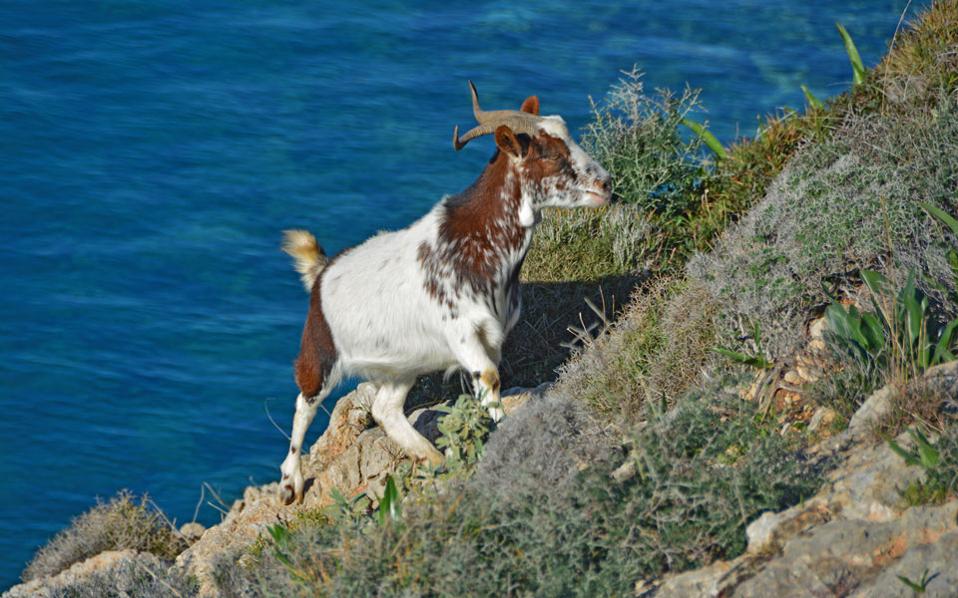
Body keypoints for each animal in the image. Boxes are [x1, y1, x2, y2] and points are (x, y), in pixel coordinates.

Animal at [278, 82, 612, 506]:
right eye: (549, 153)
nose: (606, 184)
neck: (478, 243)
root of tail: (321, 272)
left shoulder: (491, 334)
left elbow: (488, 382)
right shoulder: (461, 330)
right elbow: (489, 378)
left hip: (404, 362)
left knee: (386, 408)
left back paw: (432, 457)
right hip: (320, 351)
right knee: (304, 402)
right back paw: (290, 483)